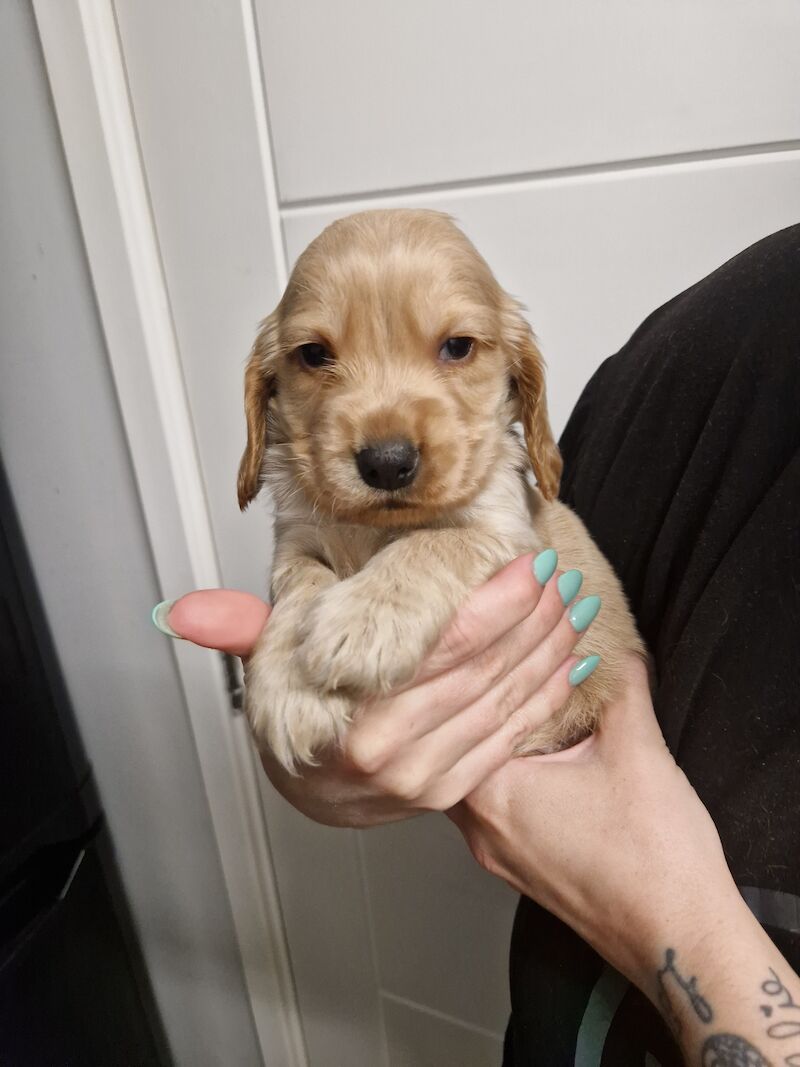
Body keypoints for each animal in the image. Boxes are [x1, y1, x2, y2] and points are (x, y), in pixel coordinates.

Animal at [237, 208, 644, 772]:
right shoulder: (296, 541)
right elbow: (301, 582)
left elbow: (433, 543)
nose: (387, 464)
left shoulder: (504, 532)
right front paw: (287, 685)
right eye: (314, 354)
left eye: (457, 347)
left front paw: (365, 619)